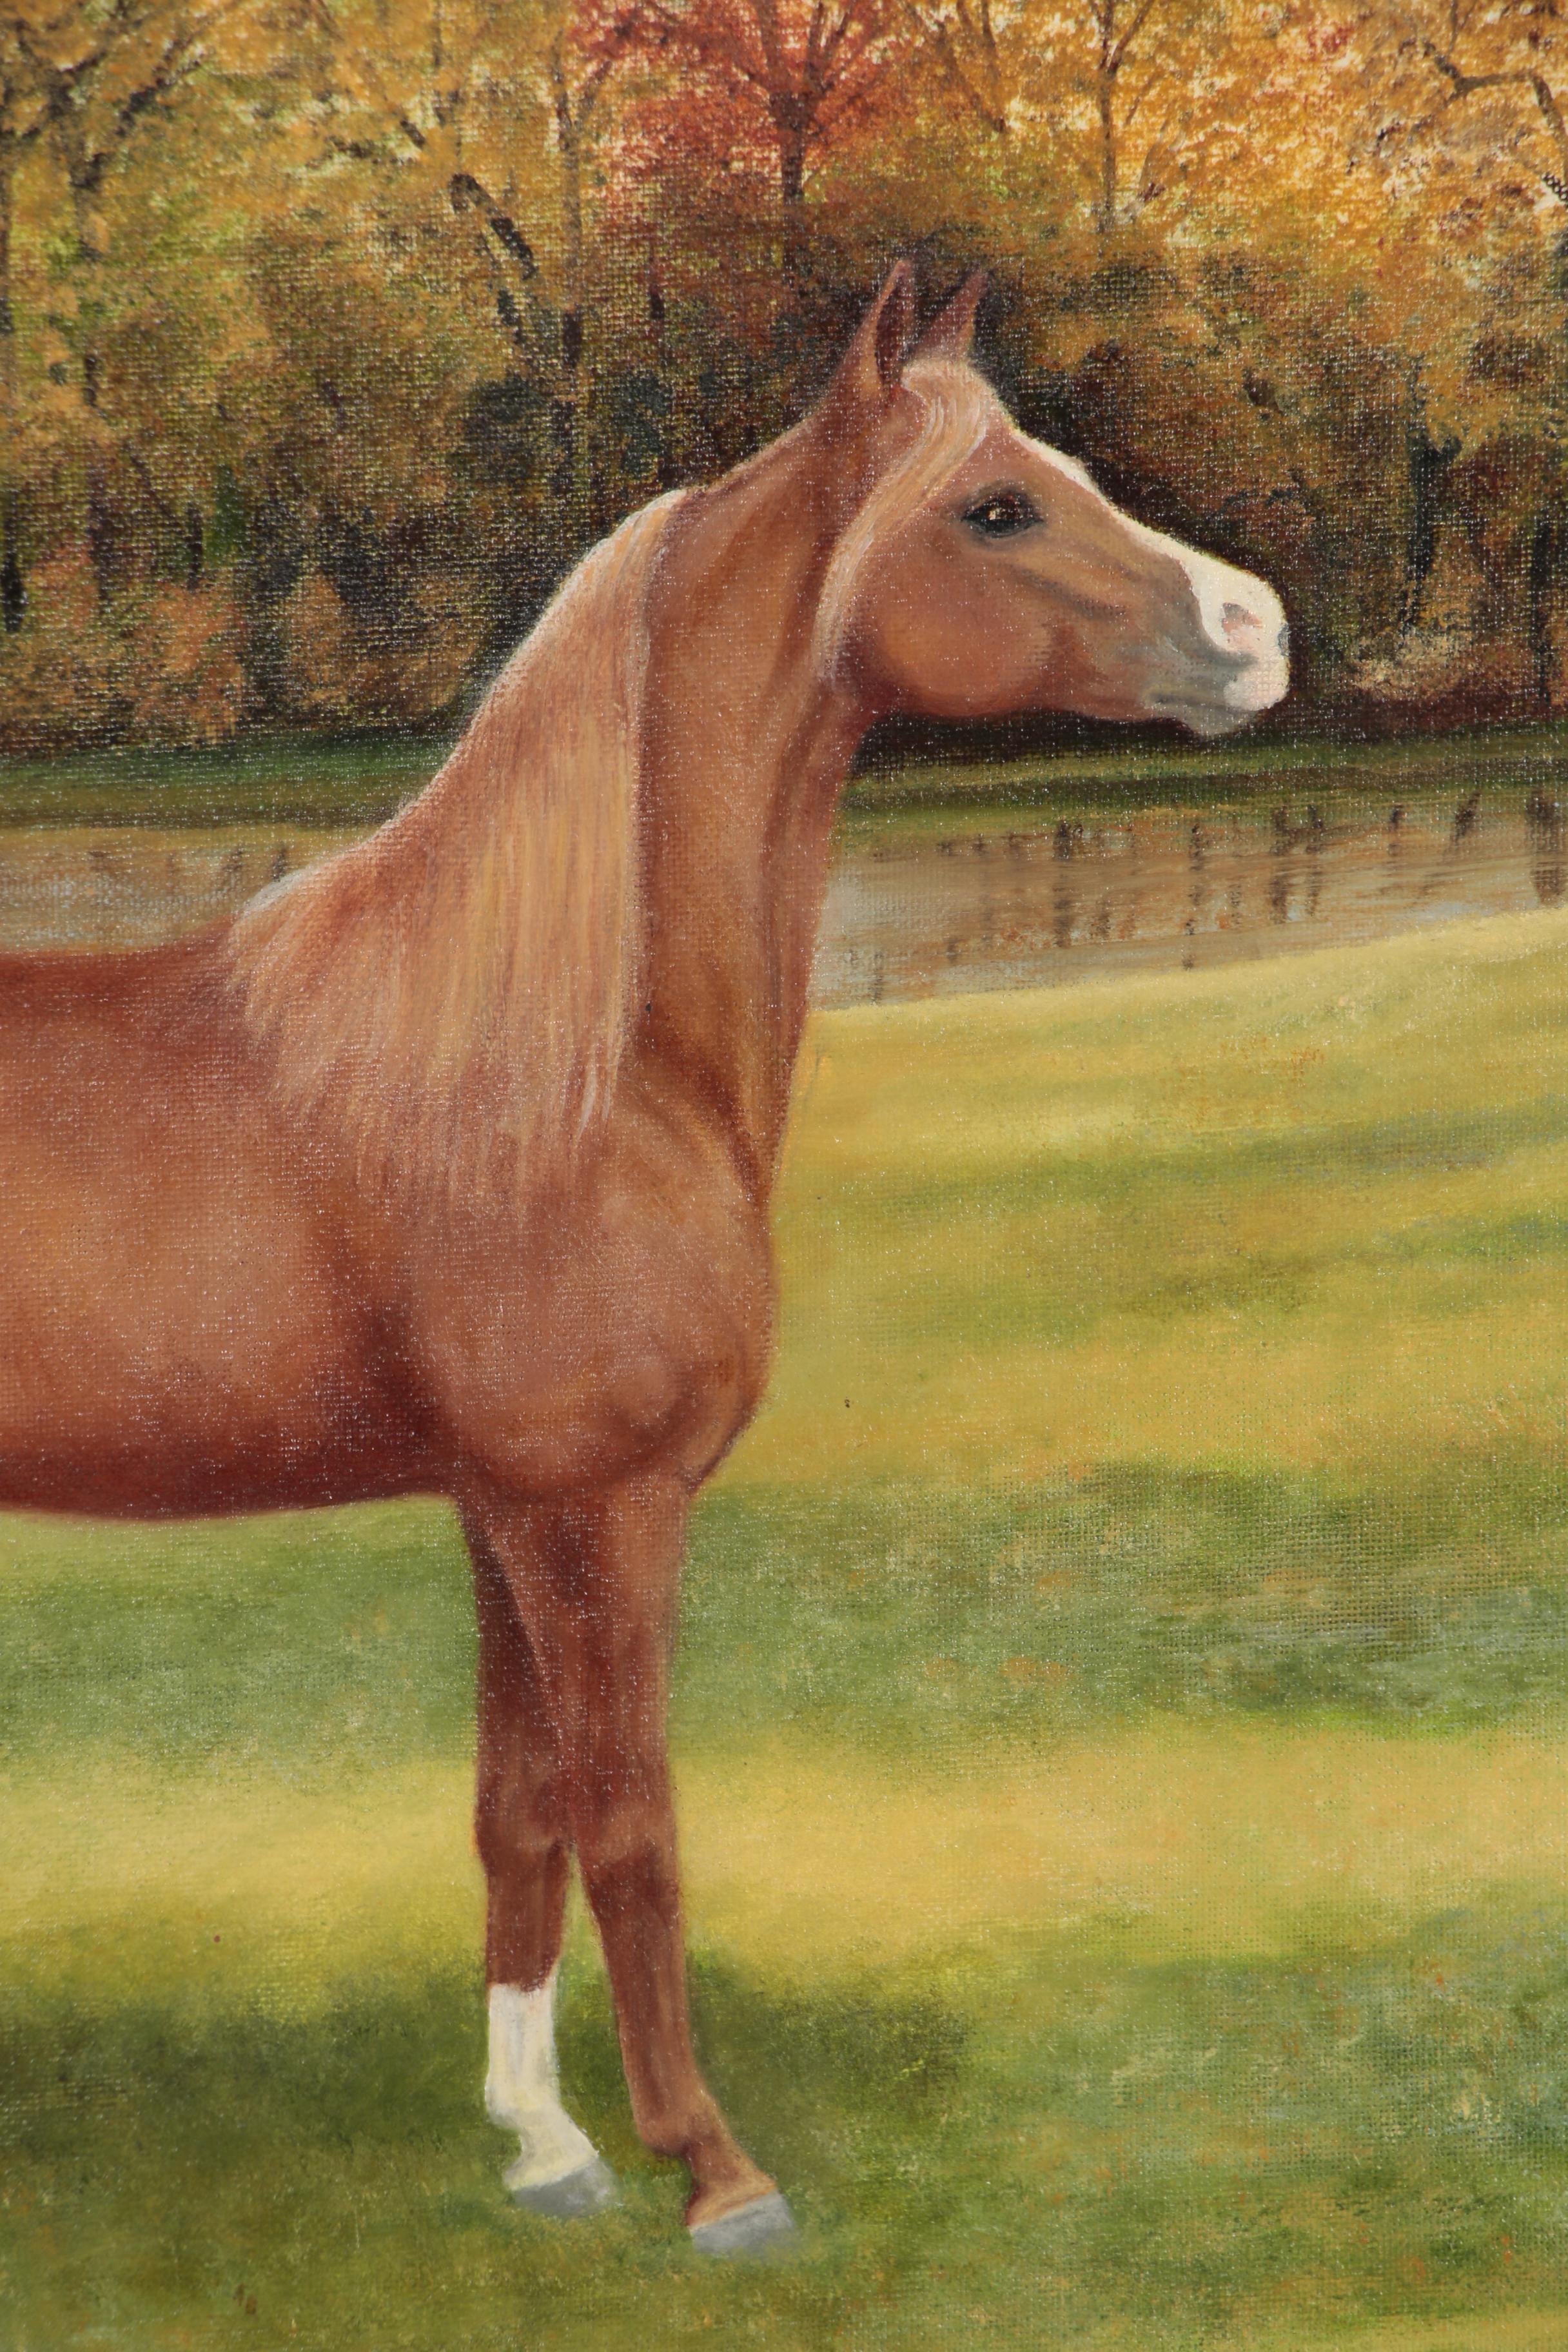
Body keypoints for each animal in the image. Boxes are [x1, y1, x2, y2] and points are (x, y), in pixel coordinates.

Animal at [0, 266, 1287, 2256]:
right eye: (996, 507)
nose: (1259, 630)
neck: (573, 1077)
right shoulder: (597, 1511)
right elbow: (633, 1826)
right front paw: (713, 2168)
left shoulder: (502, 1511)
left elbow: (515, 1814)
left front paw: (545, 2144)